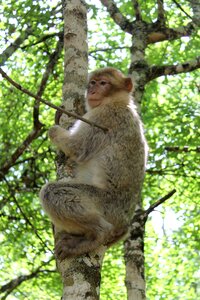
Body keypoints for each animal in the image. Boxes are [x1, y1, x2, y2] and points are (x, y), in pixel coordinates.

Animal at [39, 67, 148, 258]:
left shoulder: (102, 117)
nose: (92, 91)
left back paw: (97, 235)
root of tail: (124, 224)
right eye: (92, 83)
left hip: (104, 204)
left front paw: (54, 128)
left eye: (103, 83)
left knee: (52, 192)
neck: (120, 102)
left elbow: (77, 147)